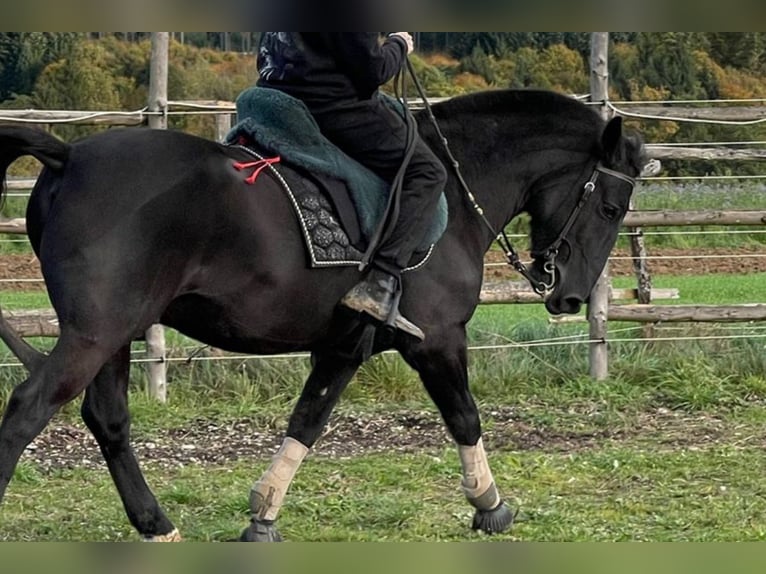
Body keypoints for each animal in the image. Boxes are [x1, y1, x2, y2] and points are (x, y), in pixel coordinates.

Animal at [0, 88, 644, 544]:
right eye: (611, 207)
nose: (569, 297)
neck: (454, 193)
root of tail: (69, 154)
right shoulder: (437, 339)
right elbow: (464, 417)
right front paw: (489, 504)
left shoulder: (345, 344)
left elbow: (308, 420)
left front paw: (263, 514)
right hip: (95, 332)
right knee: (27, 409)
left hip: (115, 335)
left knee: (108, 418)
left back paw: (156, 524)